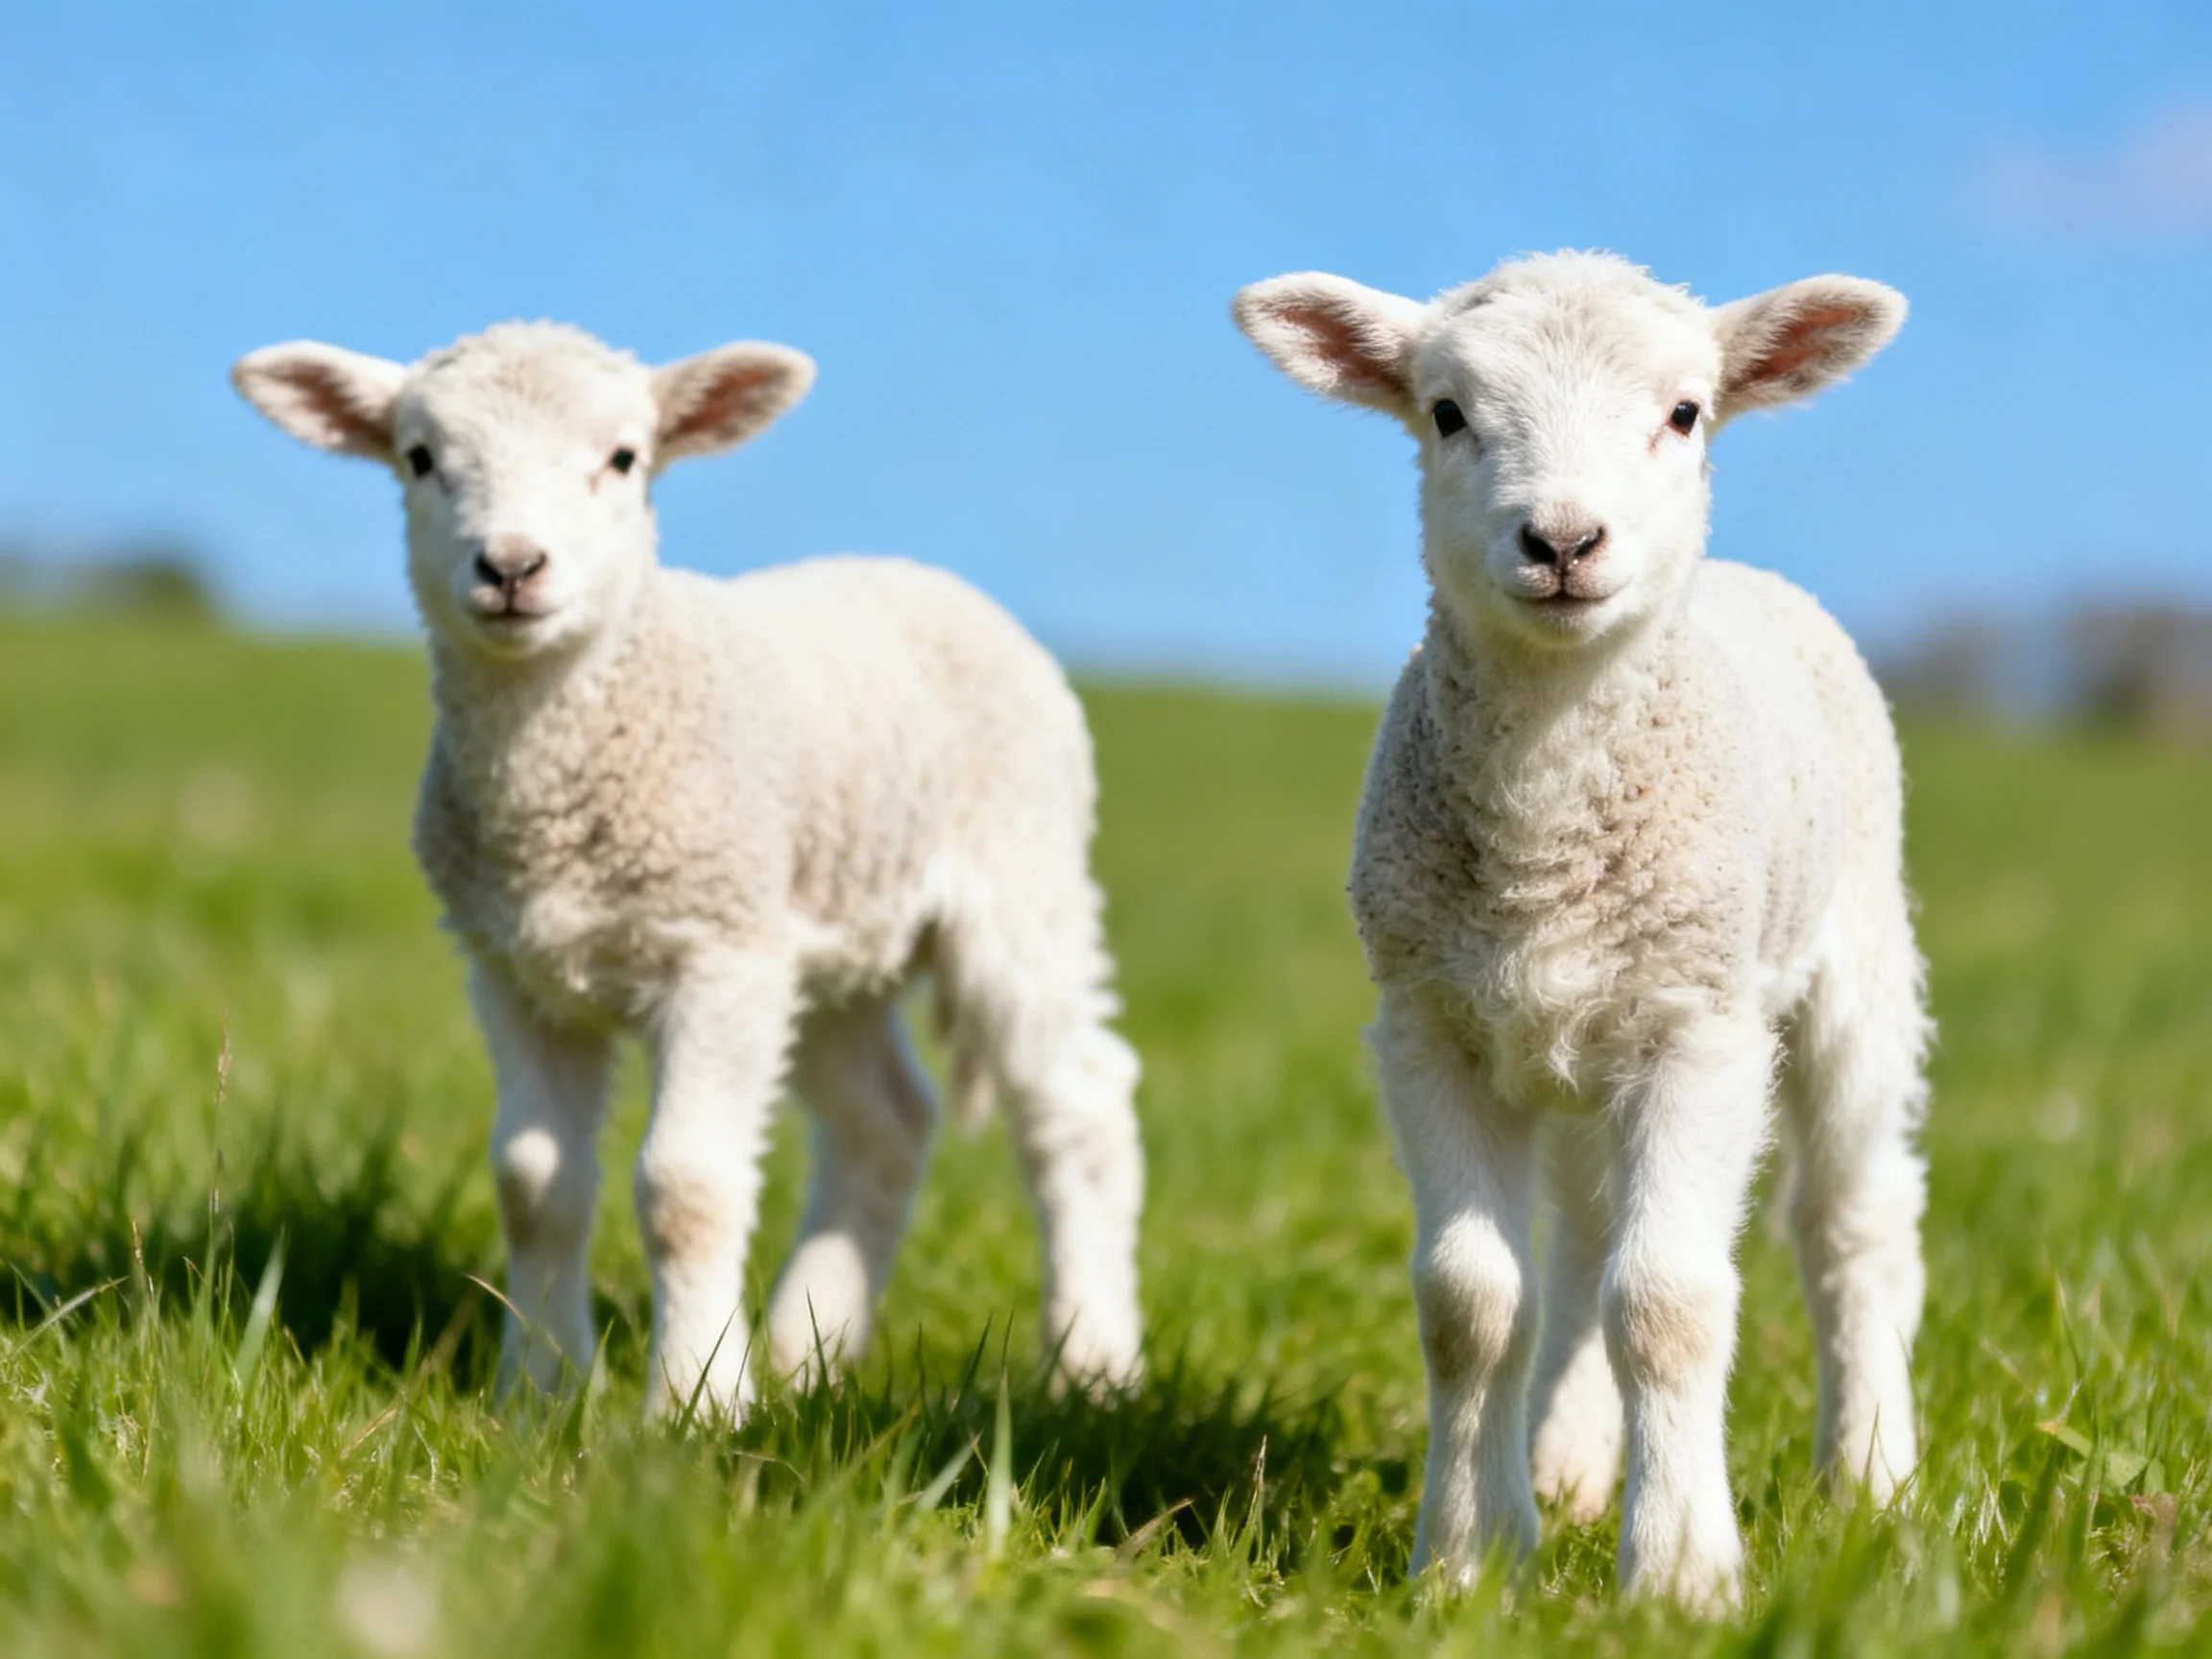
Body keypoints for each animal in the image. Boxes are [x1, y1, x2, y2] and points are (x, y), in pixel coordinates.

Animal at [230, 322, 1145, 1419]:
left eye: (625, 458)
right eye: (419, 458)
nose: (511, 565)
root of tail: (924, 574)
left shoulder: (717, 955)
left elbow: (686, 1189)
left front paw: (696, 1402)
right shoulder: (516, 971)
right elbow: (534, 1185)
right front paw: (539, 1393)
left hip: (1019, 879)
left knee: (1079, 1104)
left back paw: (1092, 1362)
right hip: (824, 936)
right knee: (886, 1120)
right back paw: (807, 1356)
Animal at [1233, 253, 1928, 1607]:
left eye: (1685, 413)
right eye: (1447, 412)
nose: (1562, 541)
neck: (1548, 823)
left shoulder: (1700, 1029)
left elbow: (1668, 1302)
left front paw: (1681, 1574)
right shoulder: (1434, 1025)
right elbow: (1470, 1302)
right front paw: (1467, 1560)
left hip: (1853, 968)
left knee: (1853, 1226)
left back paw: (1874, 1483)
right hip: (1571, 1042)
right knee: (1580, 1253)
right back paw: (1564, 1466)